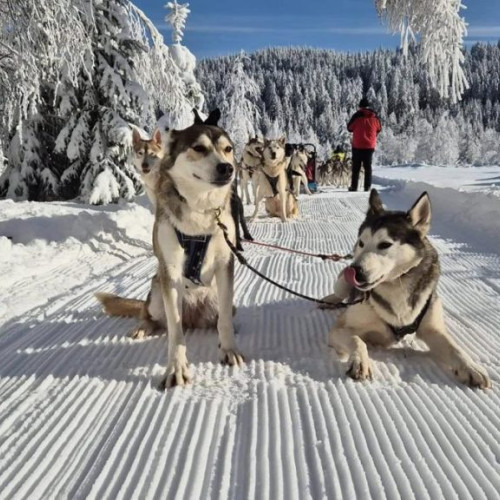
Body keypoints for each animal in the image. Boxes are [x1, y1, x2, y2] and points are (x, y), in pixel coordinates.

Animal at [96, 109, 244, 388]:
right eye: (199, 148)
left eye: (228, 149)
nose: (227, 168)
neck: (200, 210)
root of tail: (193, 316)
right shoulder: (171, 270)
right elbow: (175, 333)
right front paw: (176, 369)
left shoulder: (224, 265)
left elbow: (225, 324)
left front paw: (229, 349)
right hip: (157, 293)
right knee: (151, 315)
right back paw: (143, 327)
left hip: (220, 301)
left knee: (221, 318)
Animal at [322, 189, 490, 388]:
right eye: (361, 243)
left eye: (385, 244)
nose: (355, 271)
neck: (396, 285)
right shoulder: (339, 329)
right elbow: (357, 340)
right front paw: (359, 361)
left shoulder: (433, 329)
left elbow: (454, 348)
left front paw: (470, 367)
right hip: (341, 283)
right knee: (339, 294)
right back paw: (329, 300)